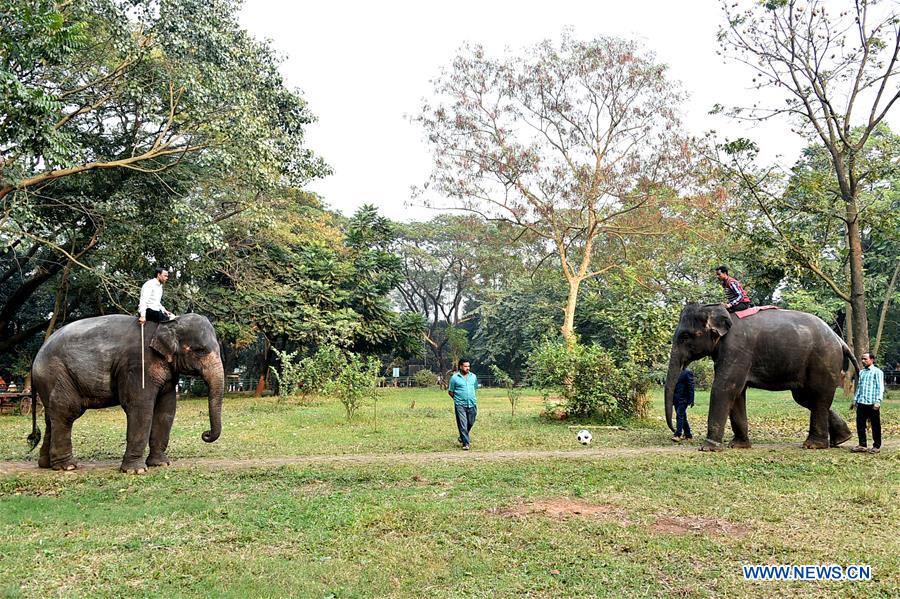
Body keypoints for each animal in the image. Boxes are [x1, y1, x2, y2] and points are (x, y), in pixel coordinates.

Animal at [27, 314, 224, 474]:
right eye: (200, 351)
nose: (205, 434)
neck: (166, 324)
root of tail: (36, 356)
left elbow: (166, 410)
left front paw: (161, 464)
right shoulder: (137, 366)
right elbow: (140, 406)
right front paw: (136, 471)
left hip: (49, 381)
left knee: (51, 417)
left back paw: (46, 464)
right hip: (56, 373)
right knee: (67, 411)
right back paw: (67, 466)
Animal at [660, 308, 856, 452]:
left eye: (685, 336)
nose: (675, 433)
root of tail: (840, 340)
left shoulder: (736, 348)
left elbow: (724, 388)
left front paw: (708, 448)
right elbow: (737, 393)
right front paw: (738, 446)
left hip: (824, 360)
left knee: (817, 397)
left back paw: (814, 446)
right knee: (806, 398)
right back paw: (842, 438)